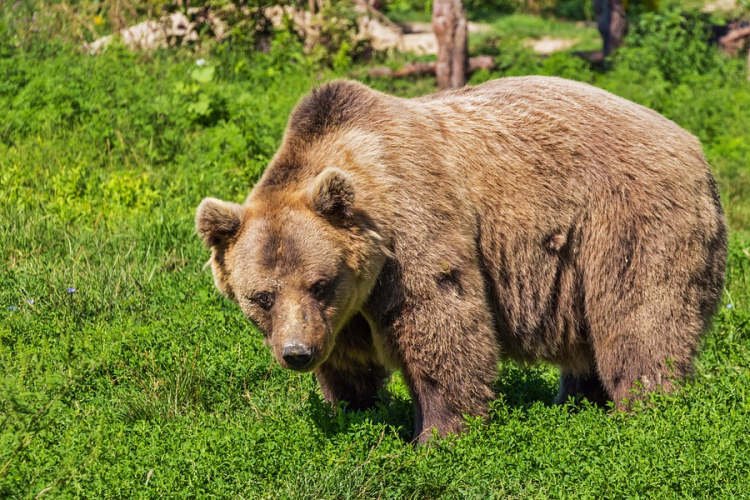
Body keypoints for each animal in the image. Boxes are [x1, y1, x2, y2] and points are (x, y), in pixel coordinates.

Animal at [194, 76, 728, 444]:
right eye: (261, 296)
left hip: (627, 222)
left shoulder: (413, 231)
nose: (297, 353)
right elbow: (349, 361)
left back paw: (644, 410)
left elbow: (442, 324)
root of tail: (695, 146)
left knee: (640, 319)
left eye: (319, 283)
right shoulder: (345, 309)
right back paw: (576, 402)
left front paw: (437, 434)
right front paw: (355, 410)